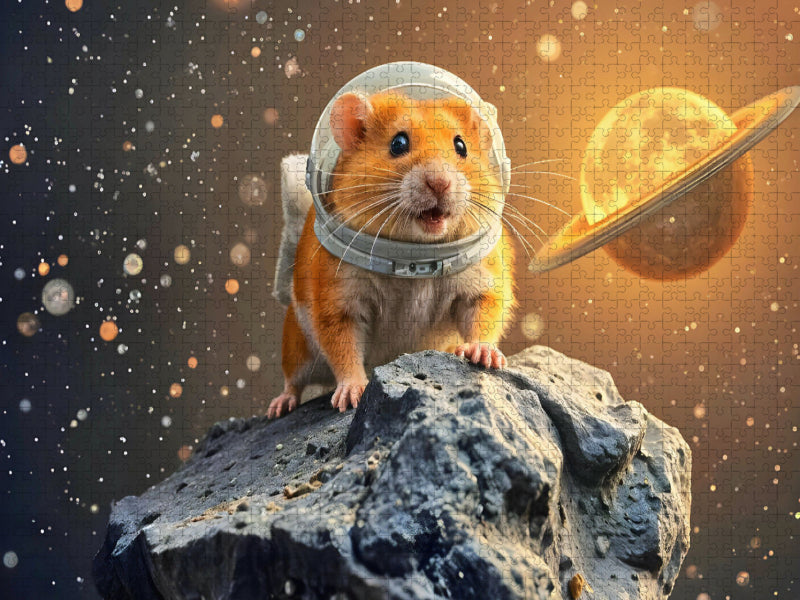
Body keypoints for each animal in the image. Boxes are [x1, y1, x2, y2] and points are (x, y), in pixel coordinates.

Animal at [267, 90, 516, 418]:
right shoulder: (337, 303)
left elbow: (483, 319)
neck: (414, 256)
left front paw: (484, 354)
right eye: (398, 143)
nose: (440, 183)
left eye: (461, 146)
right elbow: (343, 350)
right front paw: (352, 393)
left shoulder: (482, 285)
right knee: (293, 380)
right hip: (297, 347)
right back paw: (280, 405)